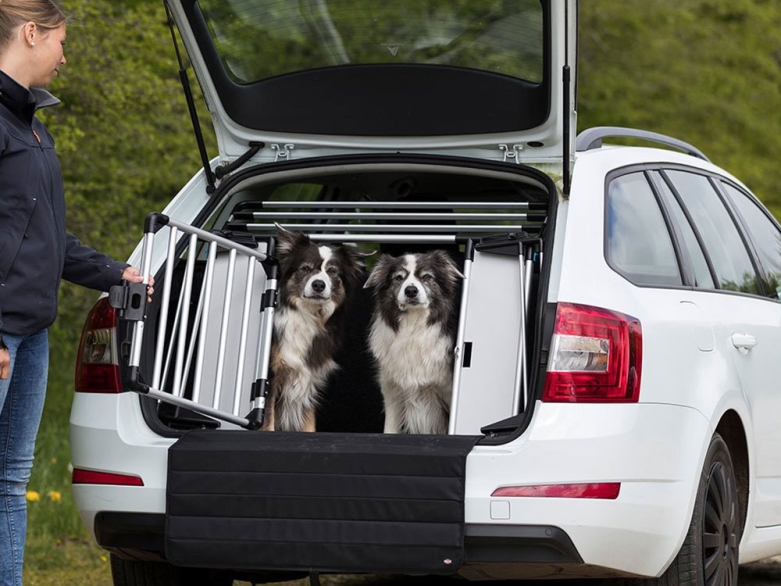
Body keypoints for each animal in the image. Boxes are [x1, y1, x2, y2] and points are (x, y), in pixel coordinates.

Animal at [264, 226, 368, 432]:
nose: (319, 284)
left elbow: (309, 424)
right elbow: (268, 421)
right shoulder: (271, 377)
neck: (308, 315)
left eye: (333, 271)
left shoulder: (309, 378)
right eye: (305, 268)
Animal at [364, 249, 466, 432]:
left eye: (426, 277)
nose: (411, 291)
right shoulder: (392, 393)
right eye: (399, 277)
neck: (413, 327)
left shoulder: (448, 390)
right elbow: (390, 429)